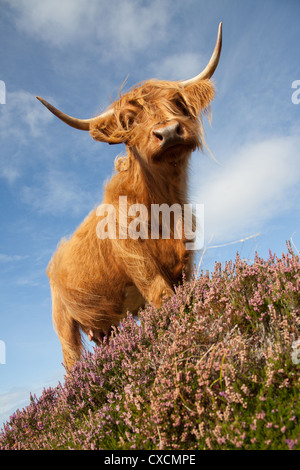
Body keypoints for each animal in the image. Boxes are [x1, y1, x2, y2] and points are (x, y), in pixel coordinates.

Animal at [37, 23, 223, 370]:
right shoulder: (139, 264)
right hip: (63, 320)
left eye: (178, 103)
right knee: (71, 361)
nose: (169, 133)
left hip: (105, 323)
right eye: (129, 120)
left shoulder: (186, 263)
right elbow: (164, 300)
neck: (164, 204)